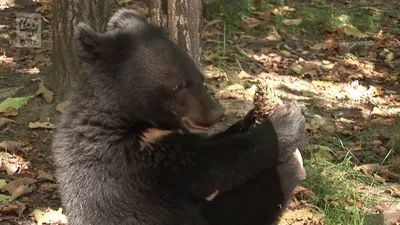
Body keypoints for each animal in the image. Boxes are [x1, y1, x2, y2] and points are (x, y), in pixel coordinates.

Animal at [50, 8, 306, 225]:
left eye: (201, 78)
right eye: (178, 86)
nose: (215, 113)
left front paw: (252, 117)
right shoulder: (136, 163)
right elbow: (212, 164)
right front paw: (286, 121)